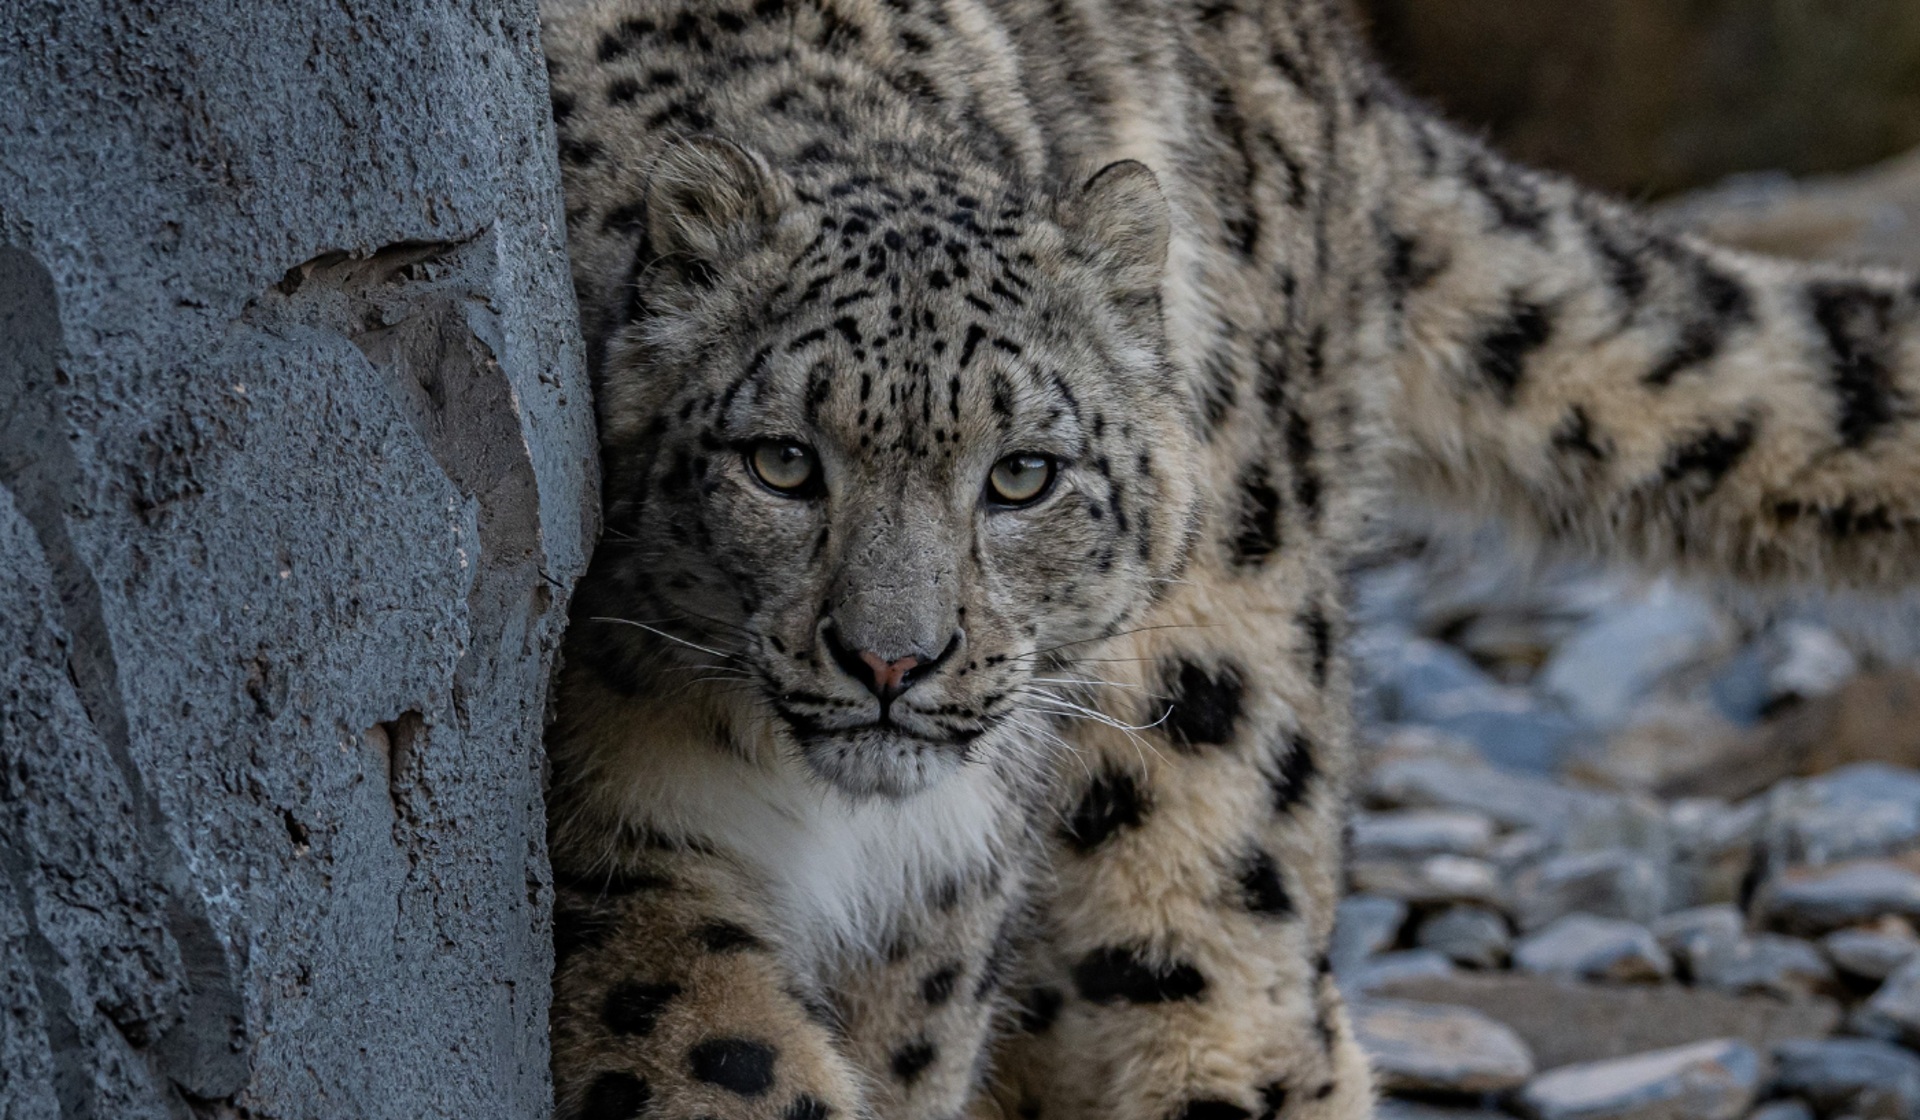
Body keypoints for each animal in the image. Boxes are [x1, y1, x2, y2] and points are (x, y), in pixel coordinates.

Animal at [536, 0, 1920, 1116]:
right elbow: (718, 1056)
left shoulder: (933, 924)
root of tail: (1338, 63)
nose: (892, 660)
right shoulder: (613, 848)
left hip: (1204, 732)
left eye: (1023, 474)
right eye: (781, 462)